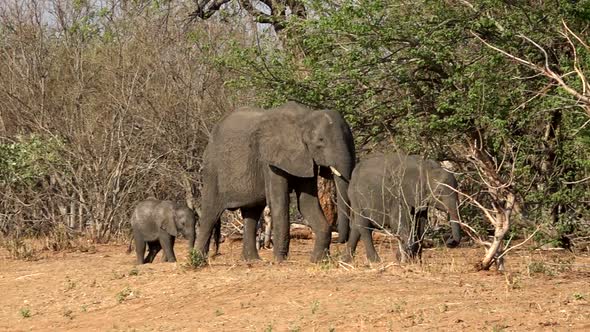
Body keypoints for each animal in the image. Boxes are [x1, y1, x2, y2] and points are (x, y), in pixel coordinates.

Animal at [195, 101, 356, 262]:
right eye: (320, 142)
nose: (340, 240)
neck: (305, 118)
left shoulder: (305, 157)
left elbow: (306, 202)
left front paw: (319, 260)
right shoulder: (270, 159)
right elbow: (280, 202)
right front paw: (279, 260)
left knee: (252, 213)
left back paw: (253, 260)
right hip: (212, 170)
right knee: (210, 213)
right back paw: (198, 259)